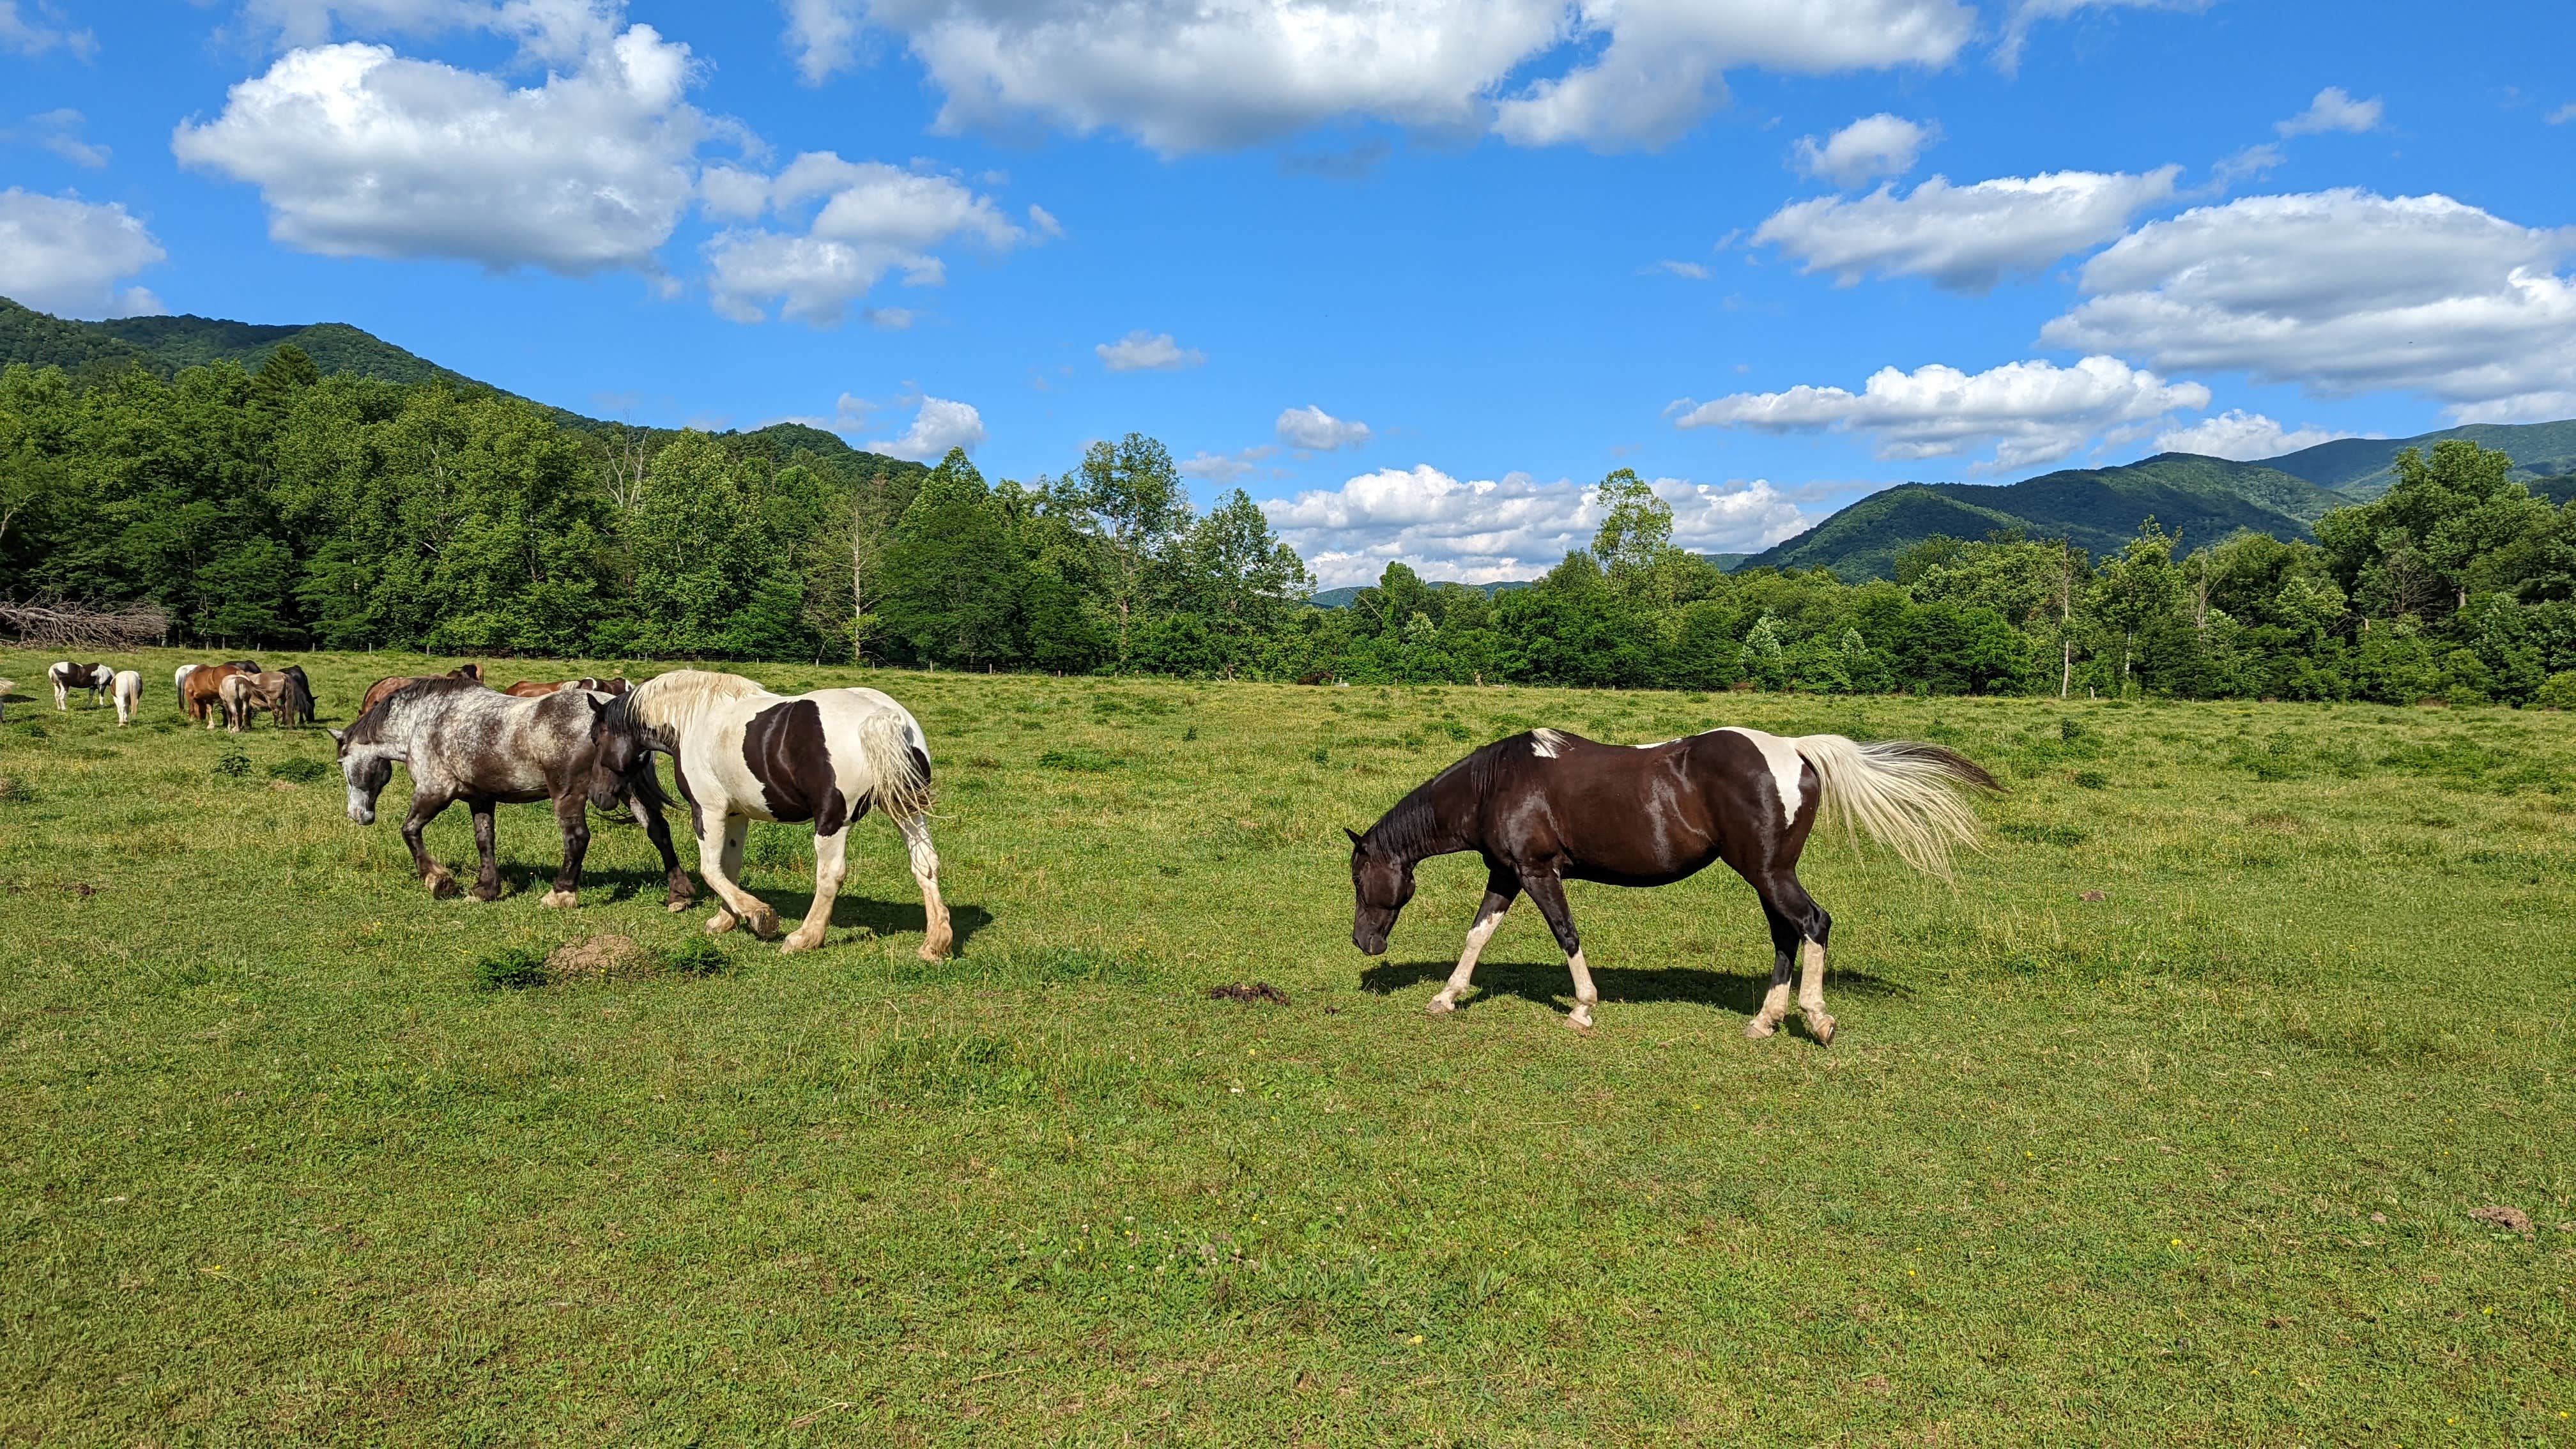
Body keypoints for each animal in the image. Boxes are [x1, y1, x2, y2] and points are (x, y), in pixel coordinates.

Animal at [331, 677, 693, 910]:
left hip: (570, 795)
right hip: (624, 790)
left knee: (577, 838)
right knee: (659, 831)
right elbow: (484, 841)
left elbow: (409, 831)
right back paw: (679, 895)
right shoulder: (480, 798)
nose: (357, 815)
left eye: (341, 762)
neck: (426, 721)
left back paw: (560, 894)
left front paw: (438, 880)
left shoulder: (435, 792)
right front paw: (485, 889)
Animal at [612, 669, 950, 958]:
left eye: (601, 734)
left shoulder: (708, 811)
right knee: (926, 864)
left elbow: (711, 870)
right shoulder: (736, 815)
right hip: (908, 810)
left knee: (831, 875)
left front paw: (759, 917)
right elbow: (729, 867)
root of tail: (883, 717)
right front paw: (727, 919)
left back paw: (805, 937)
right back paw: (936, 943)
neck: (695, 719)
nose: (607, 797)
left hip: (833, 824)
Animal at [1347, 727, 1997, 1044]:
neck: (1498, 783)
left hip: (1769, 874)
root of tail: (1793, 750)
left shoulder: (1536, 873)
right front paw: (1446, 997)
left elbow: (1567, 935)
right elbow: (1477, 936)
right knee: (1786, 936)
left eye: (1358, 877)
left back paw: (1816, 1019)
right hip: (1767, 878)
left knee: (1813, 925)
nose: (1363, 942)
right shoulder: (1506, 874)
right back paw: (1764, 1022)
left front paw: (1582, 1010)